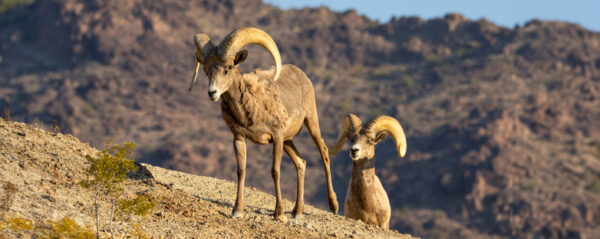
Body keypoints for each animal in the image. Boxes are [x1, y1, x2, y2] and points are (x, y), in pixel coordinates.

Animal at [188, 27, 338, 219]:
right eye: (207, 71)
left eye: (228, 68)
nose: (212, 92)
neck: (251, 106)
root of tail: (302, 75)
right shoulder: (239, 137)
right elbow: (241, 171)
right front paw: (237, 211)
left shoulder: (277, 137)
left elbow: (275, 171)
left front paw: (279, 213)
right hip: (288, 141)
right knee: (301, 163)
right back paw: (297, 212)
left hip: (310, 123)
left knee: (324, 154)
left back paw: (333, 206)